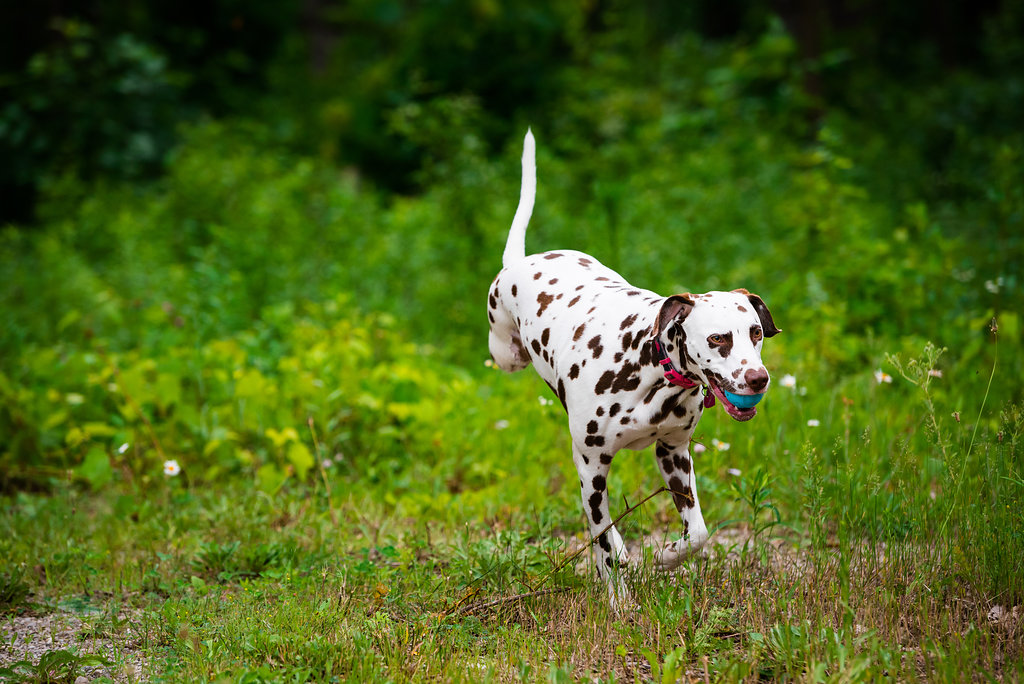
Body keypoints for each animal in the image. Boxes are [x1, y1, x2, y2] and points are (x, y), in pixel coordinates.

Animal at [483, 131, 778, 602]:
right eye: (718, 338)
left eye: (755, 332)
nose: (757, 379)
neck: (649, 368)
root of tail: (521, 262)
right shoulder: (590, 466)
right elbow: (602, 536)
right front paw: (618, 596)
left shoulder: (674, 454)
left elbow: (698, 534)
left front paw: (667, 556)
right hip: (506, 356)